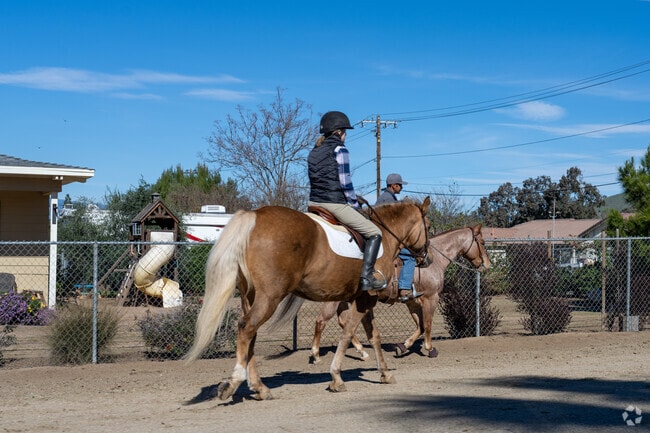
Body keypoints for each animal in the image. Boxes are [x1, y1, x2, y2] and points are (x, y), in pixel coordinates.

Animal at [184, 197, 431, 401]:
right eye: (428, 227)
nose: (426, 259)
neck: (385, 236)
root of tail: (255, 215)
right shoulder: (364, 300)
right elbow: (348, 332)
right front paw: (336, 377)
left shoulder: (364, 300)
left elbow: (374, 337)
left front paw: (385, 373)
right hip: (270, 297)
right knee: (246, 327)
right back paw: (235, 383)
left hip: (249, 296)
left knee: (250, 334)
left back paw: (259, 387)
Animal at [309, 224, 490, 363]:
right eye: (481, 242)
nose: (487, 264)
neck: (434, 261)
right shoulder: (431, 298)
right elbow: (428, 325)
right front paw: (430, 348)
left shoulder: (412, 301)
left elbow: (420, 326)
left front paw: (403, 347)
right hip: (333, 301)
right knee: (321, 321)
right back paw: (316, 355)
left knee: (343, 322)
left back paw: (363, 352)